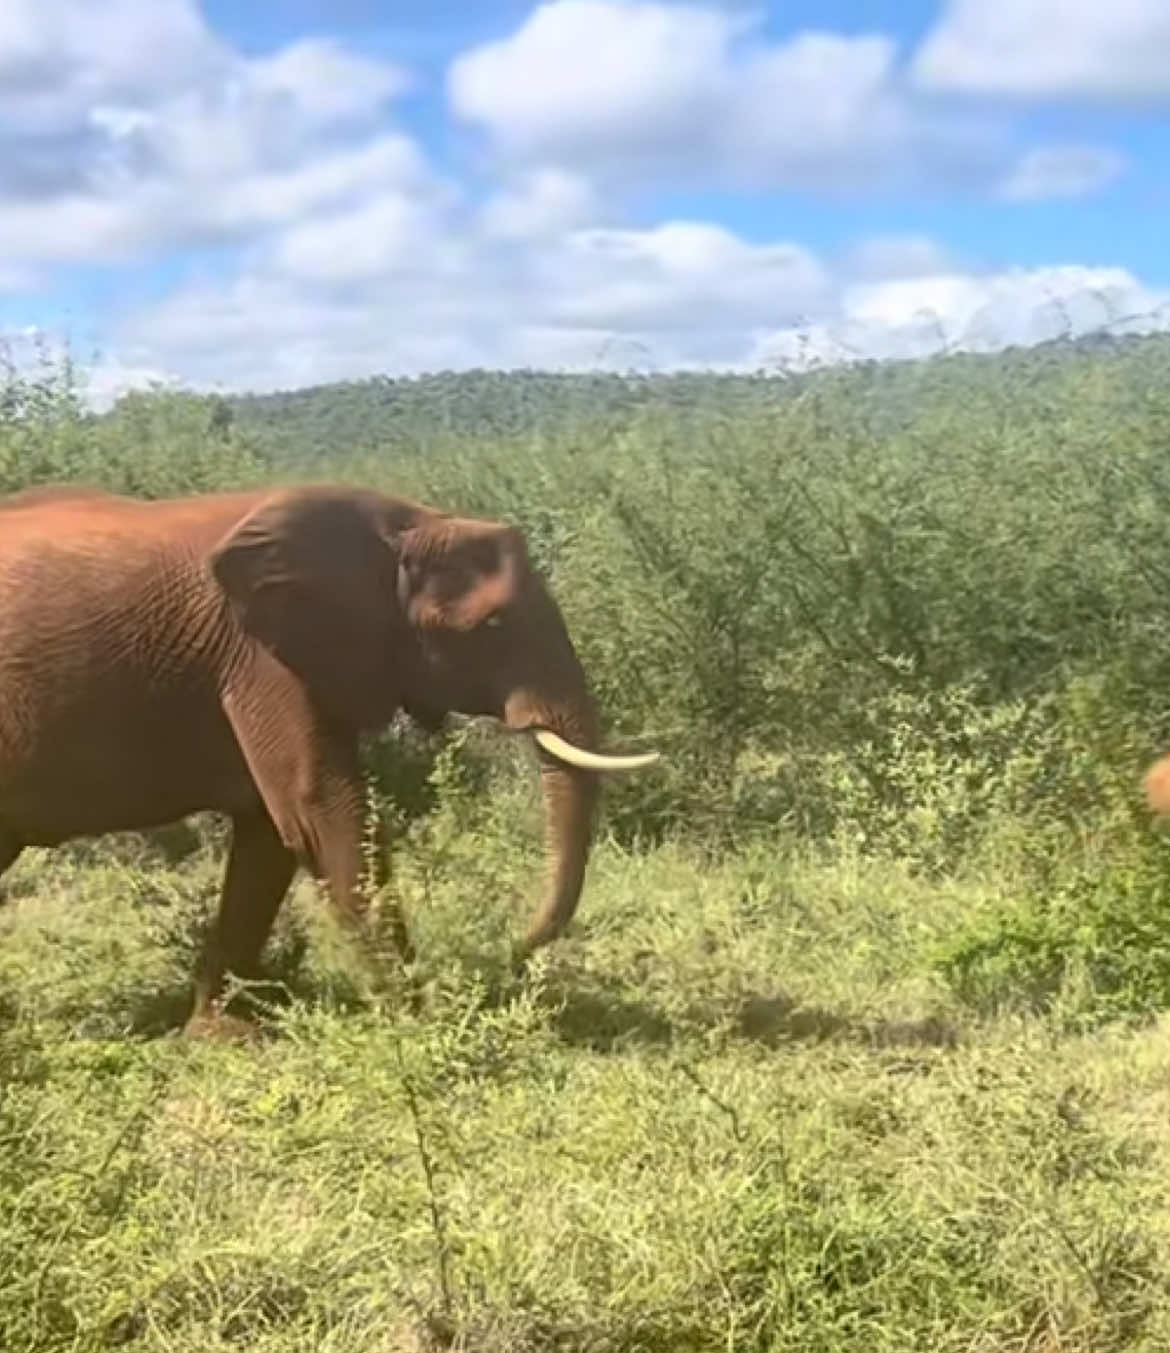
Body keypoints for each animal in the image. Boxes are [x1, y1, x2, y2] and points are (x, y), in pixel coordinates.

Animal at [0, 484, 657, 1033]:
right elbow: (322, 807)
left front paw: (220, 1036)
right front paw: (422, 1022)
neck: (404, 523)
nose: (515, 951)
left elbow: (268, 840)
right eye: (492, 625)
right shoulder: (261, 660)